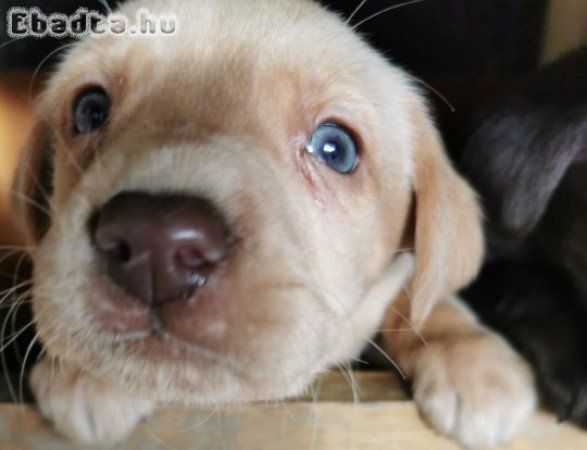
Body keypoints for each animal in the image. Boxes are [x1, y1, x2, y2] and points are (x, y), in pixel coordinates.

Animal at [13, 0, 536, 446]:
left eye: (335, 149)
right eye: (90, 110)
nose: (153, 242)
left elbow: (418, 303)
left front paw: (471, 358)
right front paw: (87, 370)